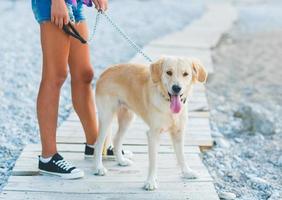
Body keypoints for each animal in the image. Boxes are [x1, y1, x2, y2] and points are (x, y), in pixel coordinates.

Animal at [93, 55, 206, 190]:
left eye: (185, 74)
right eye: (169, 72)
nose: (176, 88)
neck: (167, 103)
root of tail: (105, 72)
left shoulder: (178, 133)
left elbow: (181, 155)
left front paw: (187, 172)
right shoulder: (153, 134)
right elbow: (153, 161)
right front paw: (151, 181)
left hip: (127, 118)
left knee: (116, 140)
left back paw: (121, 161)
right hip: (107, 118)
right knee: (98, 144)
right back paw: (98, 167)